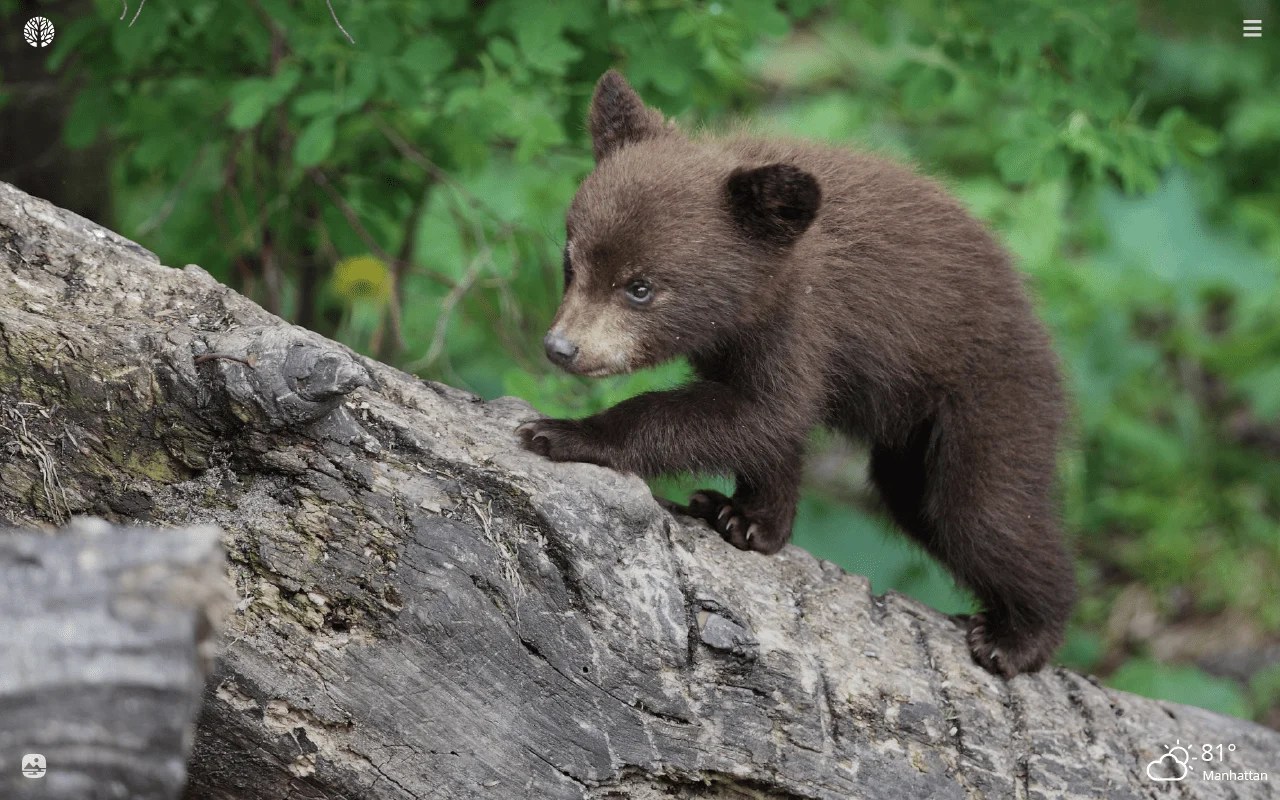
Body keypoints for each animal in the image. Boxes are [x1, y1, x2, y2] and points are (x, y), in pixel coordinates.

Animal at [518, 70, 1076, 677]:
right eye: (571, 260)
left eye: (640, 287)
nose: (561, 346)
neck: (753, 299)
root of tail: (1041, 330)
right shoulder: (739, 343)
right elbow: (767, 428)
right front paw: (747, 517)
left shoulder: (805, 321)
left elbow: (763, 413)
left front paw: (563, 431)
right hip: (914, 440)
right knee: (917, 501)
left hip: (990, 397)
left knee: (981, 514)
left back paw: (1016, 637)